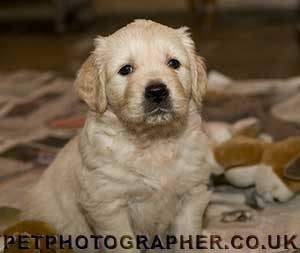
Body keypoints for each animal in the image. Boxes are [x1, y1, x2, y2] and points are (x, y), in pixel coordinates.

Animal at [22, 20, 211, 253]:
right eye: (126, 69)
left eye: (173, 63)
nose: (157, 91)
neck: (152, 141)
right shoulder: (108, 205)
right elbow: (123, 243)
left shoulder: (191, 193)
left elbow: (188, 237)